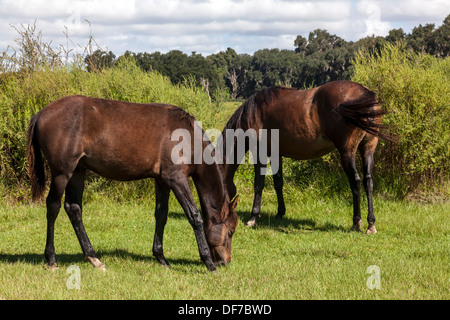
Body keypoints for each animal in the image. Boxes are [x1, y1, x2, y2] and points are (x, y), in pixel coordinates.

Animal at [26, 95, 239, 272]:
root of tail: (41, 113)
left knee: (74, 209)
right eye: (230, 232)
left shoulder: (162, 180)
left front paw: (161, 258)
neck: (186, 137)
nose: (225, 261)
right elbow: (194, 216)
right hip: (62, 173)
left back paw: (93, 258)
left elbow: (161, 215)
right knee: (53, 206)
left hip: (78, 171)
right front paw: (208, 263)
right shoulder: (176, 178)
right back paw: (51, 259)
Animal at [223, 80, 392, 234]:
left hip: (347, 152)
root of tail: (365, 94)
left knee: (355, 182)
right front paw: (280, 212)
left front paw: (253, 217)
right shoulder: (276, 154)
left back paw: (356, 223)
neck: (253, 111)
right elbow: (278, 182)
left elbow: (258, 184)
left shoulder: (259, 152)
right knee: (368, 182)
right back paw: (371, 224)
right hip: (368, 149)